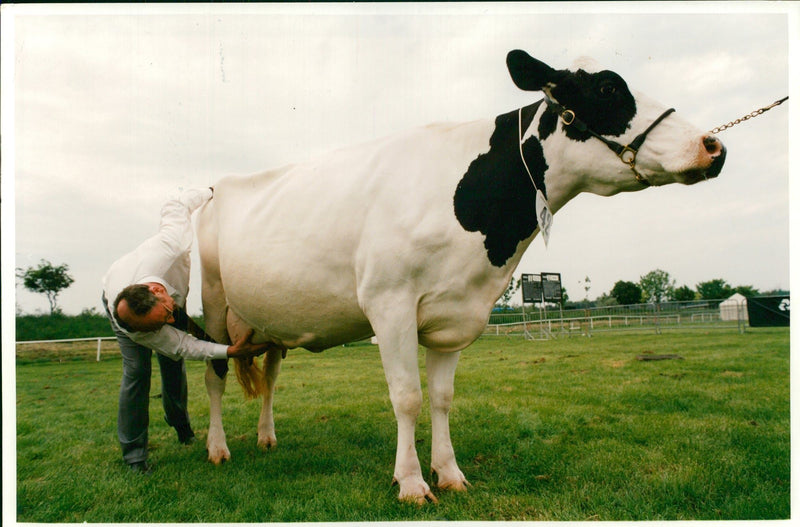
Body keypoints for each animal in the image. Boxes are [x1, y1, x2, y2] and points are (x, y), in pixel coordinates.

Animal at [195, 50, 724, 508]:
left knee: (270, 377)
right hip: (215, 305)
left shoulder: (454, 314)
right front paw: (410, 482)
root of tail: (214, 190)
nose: (713, 145)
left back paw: (267, 438)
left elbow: (443, 399)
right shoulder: (389, 304)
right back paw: (218, 449)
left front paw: (449, 474)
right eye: (608, 87)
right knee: (214, 376)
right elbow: (407, 398)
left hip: (269, 322)